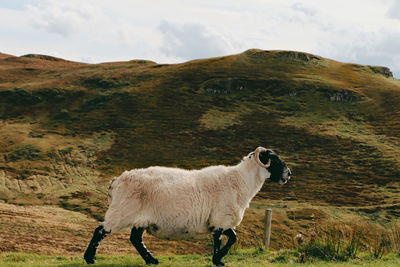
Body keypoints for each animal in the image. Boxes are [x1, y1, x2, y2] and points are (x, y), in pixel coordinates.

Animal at [83, 148, 290, 266]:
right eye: (274, 160)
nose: (288, 174)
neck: (240, 181)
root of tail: (116, 181)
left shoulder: (220, 221)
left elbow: (232, 238)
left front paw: (219, 259)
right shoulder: (220, 220)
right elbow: (222, 240)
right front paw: (218, 260)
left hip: (140, 219)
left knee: (135, 239)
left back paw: (151, 260)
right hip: (121, 212)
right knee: (100, 231)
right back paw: (89, 258)